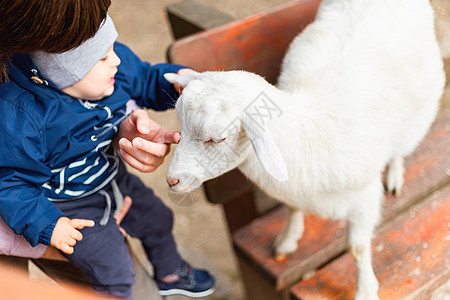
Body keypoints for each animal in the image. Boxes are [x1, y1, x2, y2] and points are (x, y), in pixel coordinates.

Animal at [164, 0, 442, 298]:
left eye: (216, 139)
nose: (172, 180)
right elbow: (292, 208)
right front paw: (288, 238)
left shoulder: (364, 196)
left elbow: (357, 248)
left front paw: (366, 288)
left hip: (421, 102)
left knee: (403, 140)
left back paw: (394, 172)